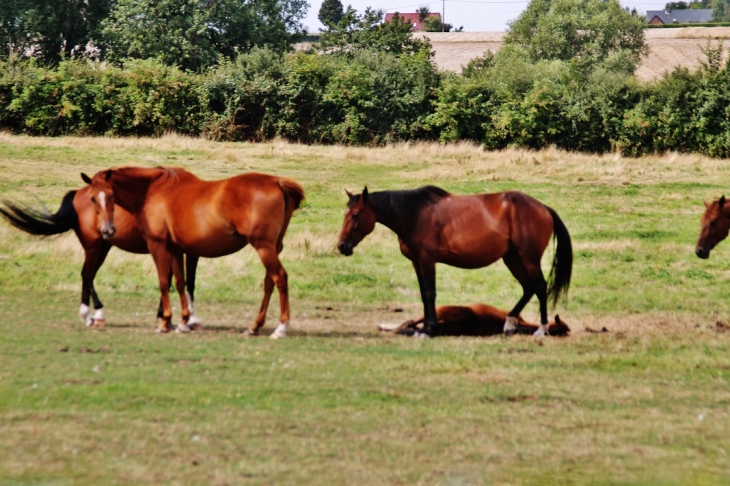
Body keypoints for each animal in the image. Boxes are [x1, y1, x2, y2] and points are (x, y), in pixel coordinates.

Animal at [0, 188, 199, 328]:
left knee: (87, 275)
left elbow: (174, 278)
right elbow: (180, 280)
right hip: (94, 246)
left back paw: (87, 315)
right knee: (87, 275)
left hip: (103, 247)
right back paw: (97, 312)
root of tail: (77, 193)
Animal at [84, 165, 302, 336]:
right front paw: (183, 322)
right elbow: (180, 283)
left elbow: (164, 282)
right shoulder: (176, 249)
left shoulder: (158, 245)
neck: (151, 190)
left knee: (280, 278)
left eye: (111, 195)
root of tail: (277, 182)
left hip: (263, 248)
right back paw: (255, 326)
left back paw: (281, 328)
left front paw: (165, 322)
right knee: (269, 282)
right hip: (272, 248)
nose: (108, 230)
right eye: (93, 198)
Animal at [338, 186, 572, 338]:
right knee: (528, 288)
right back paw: (509, 324)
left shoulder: (427, 260)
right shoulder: (417, 262)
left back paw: (541, 329)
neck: (414, 215)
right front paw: (424, 328)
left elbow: (430, 293)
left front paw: (428, 330)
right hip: (512, 258)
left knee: (540, 287)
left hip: (529, 259)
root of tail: (543, 207)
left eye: (356, 214)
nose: (342, 246)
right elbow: (424, 294)